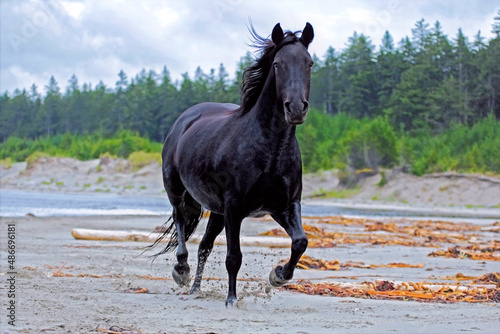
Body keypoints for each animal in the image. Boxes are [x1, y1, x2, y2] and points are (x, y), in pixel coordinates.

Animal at [153, 22, 312, 306]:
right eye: (278, 64)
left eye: (310, 63)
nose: (295, 108)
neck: (270, 151)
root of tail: (185, 120)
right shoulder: (235, 207)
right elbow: (233, 256)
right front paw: (231, 299)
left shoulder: (285, 205)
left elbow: (300, 242)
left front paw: (278, 276)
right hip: (178, 191)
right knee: (181, 222)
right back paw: (181, 272)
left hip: (217, 211)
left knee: (204, 246)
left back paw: (195, 289)